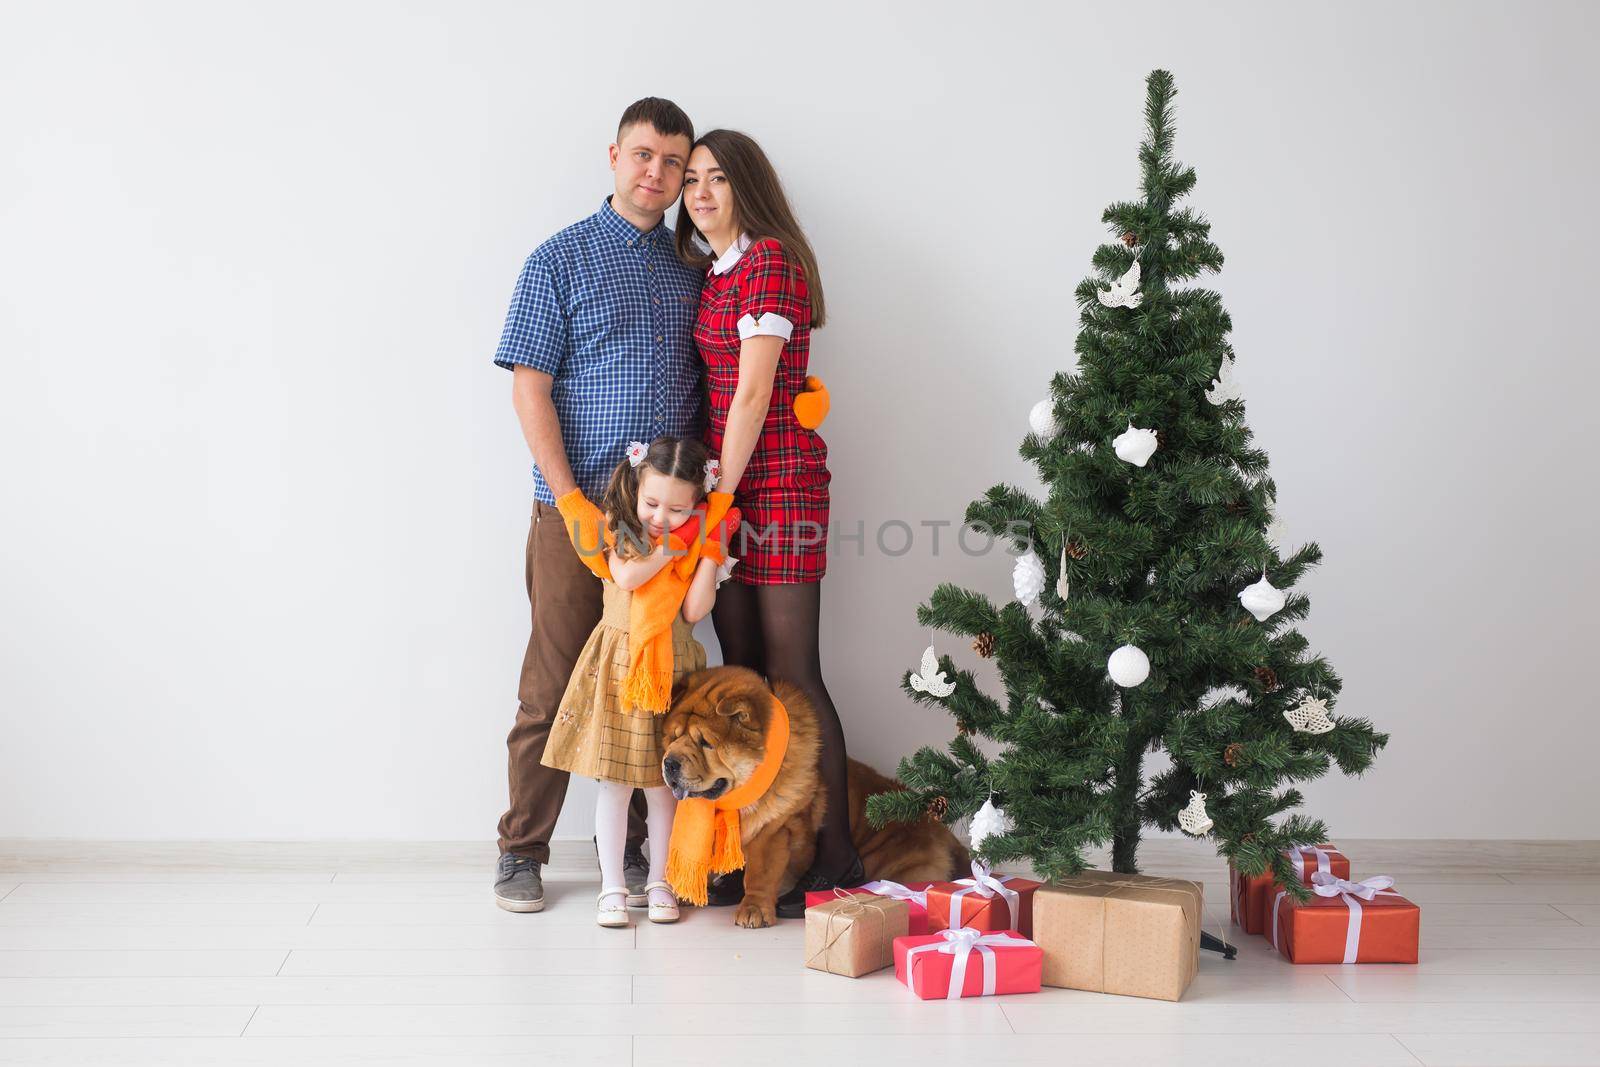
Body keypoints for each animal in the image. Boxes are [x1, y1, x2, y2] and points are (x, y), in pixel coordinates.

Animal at [659, 668, 960, 927]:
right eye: (673, 737)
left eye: (706, 743)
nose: (670, 762)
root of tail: (939, 827)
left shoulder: (774, 832)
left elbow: (760, 875)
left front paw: (753, 909)